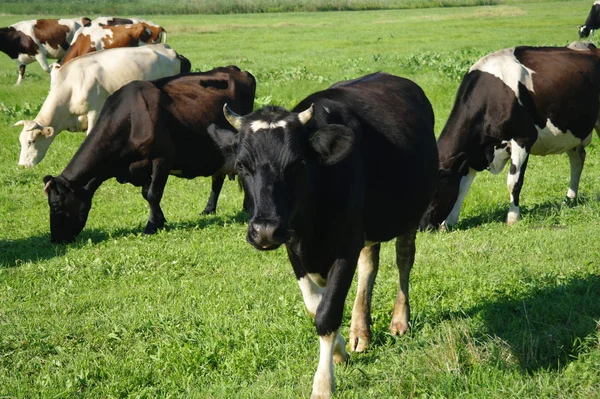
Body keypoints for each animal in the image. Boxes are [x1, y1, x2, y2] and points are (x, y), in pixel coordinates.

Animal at [14, 43, 190, 167]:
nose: (22, 165)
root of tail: (167, 48)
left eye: (31, 142)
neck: (71, 85)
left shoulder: (95, 111)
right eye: (20, 142)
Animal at [41, 66, 256, 244]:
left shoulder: (162, 159)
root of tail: (236, 69)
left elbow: (154, 194)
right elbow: (147, 194)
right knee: (218, 179)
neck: (131, 119)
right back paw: (209, 209)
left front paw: (151, 225)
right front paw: (160, 220)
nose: (55, 240)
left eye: (56, 205)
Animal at [209, 72, 438, 399]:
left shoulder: (346, 245)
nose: (264, 230)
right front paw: (341, 350)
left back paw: (399, 320)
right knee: (369, 266)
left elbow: (328, 312)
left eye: (297, 164)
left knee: (404, 260)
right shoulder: (293, 245)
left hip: (410, 212)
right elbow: (314, 304)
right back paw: (360, 332)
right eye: (241, 165)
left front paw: (323, 383)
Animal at [418, 43, 600, 231]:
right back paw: (569, 199)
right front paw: (449, 222)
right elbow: (462, 187)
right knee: (577, 160)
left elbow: (513, 182)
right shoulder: (473, 152)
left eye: (433, 190)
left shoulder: (523, 138)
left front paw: (513, 217)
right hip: (572, 133)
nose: (421, 227)